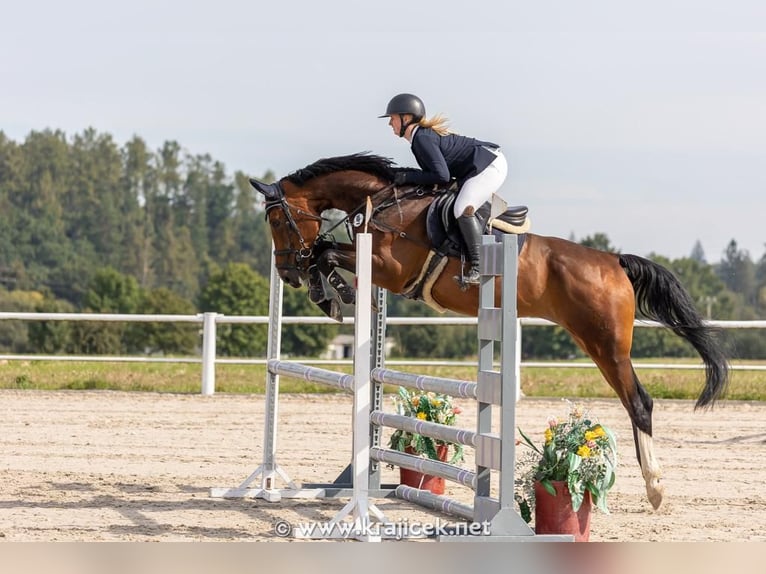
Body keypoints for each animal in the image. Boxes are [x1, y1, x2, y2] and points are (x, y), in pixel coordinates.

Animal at [252, 153, 732, 512]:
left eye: (277, 221)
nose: (286, 273)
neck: (384, 203)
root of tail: (614, 261)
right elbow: (326, 250)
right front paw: (331, 293)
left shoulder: (391, 269)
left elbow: (327, 251)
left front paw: (331, 292)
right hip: (593, 340)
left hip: (606, 344)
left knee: (639, 403)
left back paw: (655, 487)